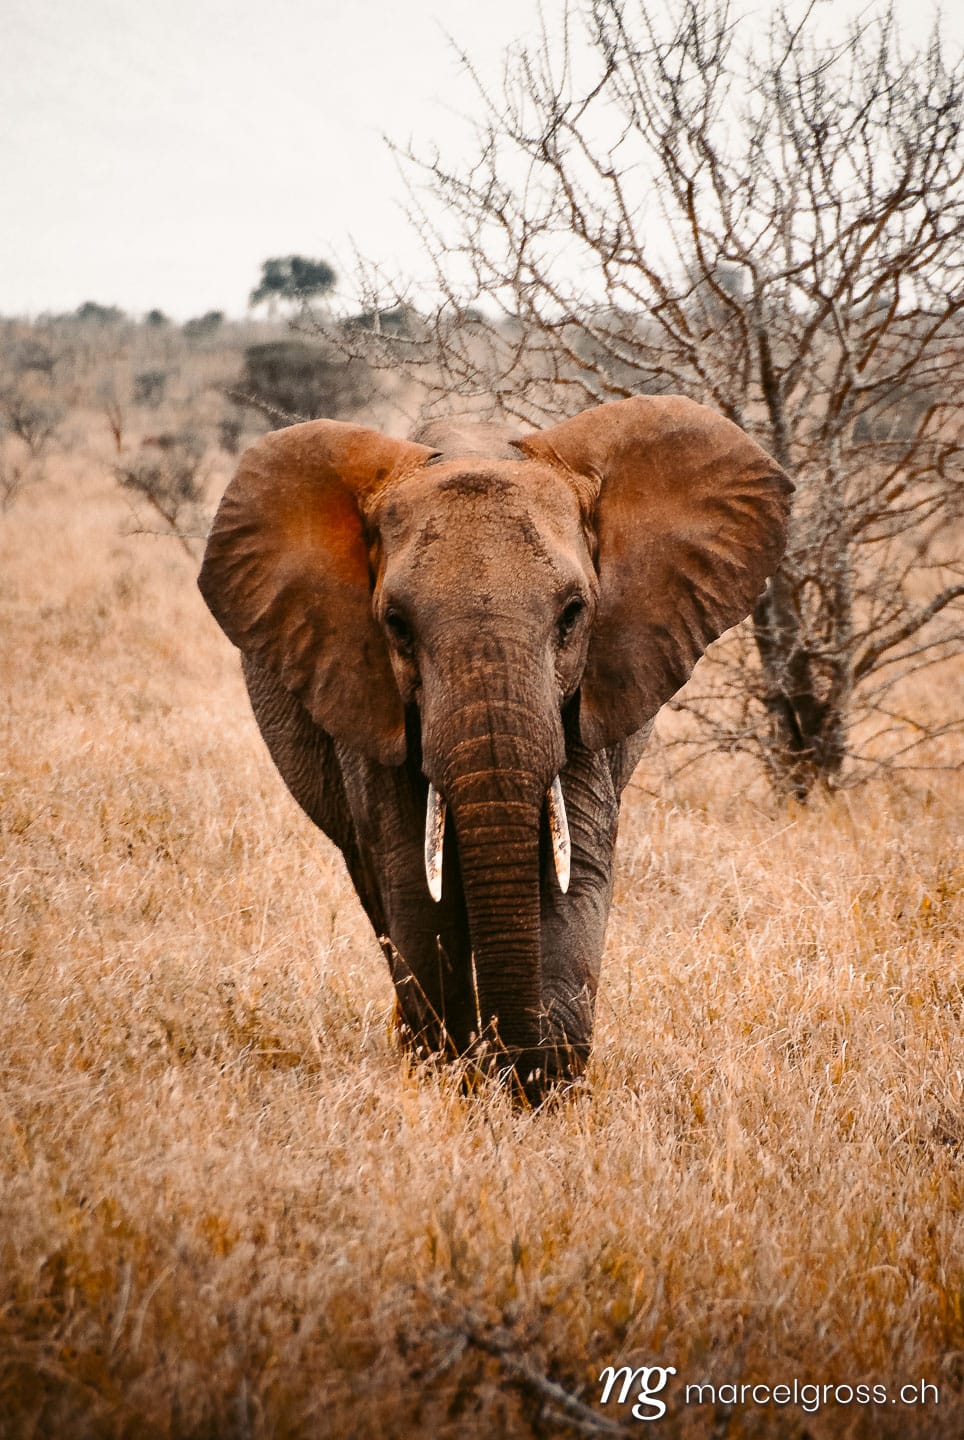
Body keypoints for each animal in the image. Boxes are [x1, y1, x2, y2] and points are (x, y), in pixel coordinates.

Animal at [198, 395, 791, 1101]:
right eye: (395, 625)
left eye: (572, 614)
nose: (510, 1066)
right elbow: (412, 878)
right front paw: (457, 1077)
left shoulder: (586, 693)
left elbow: (573, 865)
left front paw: (540, 1088)